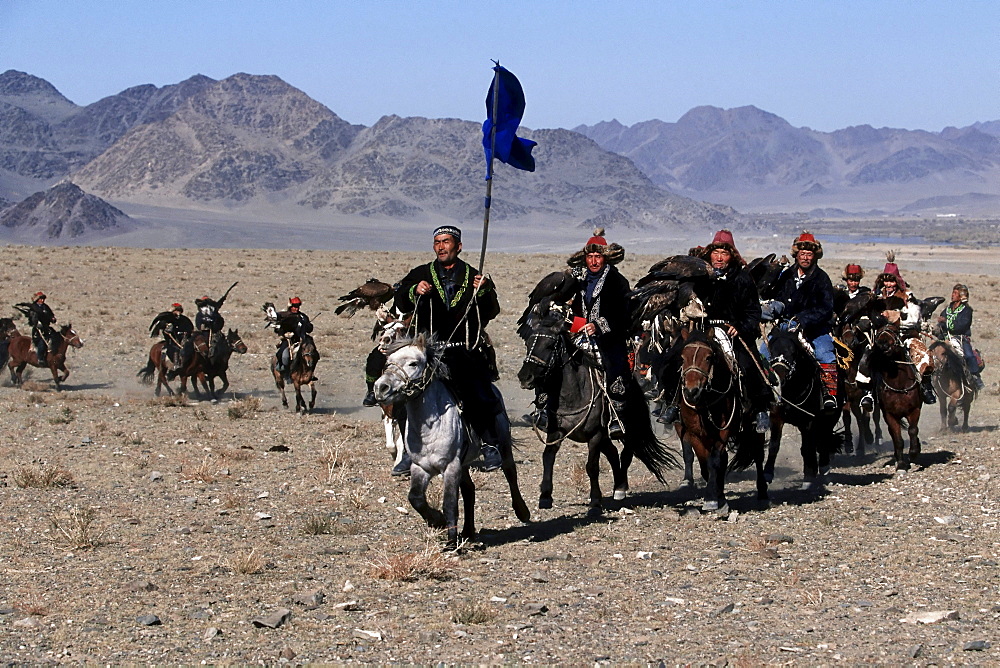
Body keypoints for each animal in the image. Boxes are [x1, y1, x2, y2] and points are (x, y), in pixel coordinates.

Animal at [374, 336, 532, 544]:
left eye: (413, 363)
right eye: (388, 362)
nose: (380, 388)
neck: (430, 430)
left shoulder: (450, 467)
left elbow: (449, 504)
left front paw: (450, 542)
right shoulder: (421, 467)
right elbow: (415, 498)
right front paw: (437, 521)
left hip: (503, 443)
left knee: (510, 472)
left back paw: (522, 511)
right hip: (463, 464)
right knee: (469, 490)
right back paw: (467, 532)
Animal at [676, 328, 768, 512]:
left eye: (708, 357)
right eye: (682, 357)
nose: (691, 392)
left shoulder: (723, 431)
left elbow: (714, 462)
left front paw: (711, 499)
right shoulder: (694, 434)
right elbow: (705, 465)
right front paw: (718, 498)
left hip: (753, 429)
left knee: (758, 455)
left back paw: (762, 493)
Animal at [764, 328, 844, 490]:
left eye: (793, 352)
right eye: (772, 351)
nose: (778, 379)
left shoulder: (809, 421)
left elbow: (808, 447)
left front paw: (808, 478)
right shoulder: (776, 416)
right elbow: (774, 445)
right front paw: (767, 473)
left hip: (830, 416)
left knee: (823, 439)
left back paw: (824, 469)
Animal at [872, 322, 924, 470]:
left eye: (895, 331)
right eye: (878, 333)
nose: (883, 344)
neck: (899, 384)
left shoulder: (914, 410)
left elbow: (913, 430)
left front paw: (913, 453)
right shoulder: (890, 415)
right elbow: (897, 439)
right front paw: (900, 463)